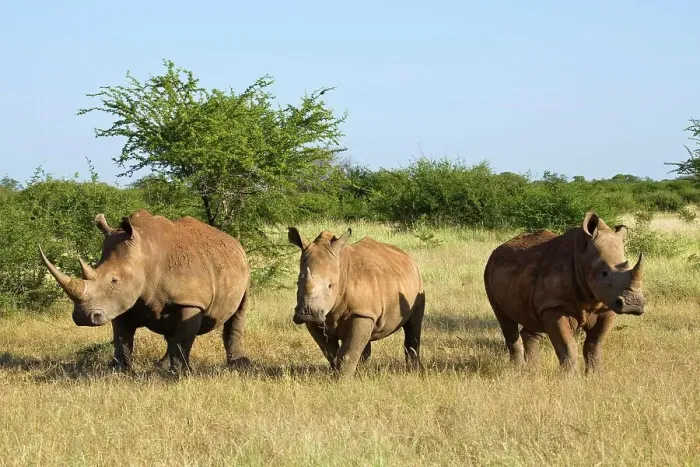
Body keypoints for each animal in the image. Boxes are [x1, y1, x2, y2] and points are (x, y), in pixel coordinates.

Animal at [39, 210, 250, 373]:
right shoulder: (122, 302)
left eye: (114, 280)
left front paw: (180, 373)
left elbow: (183, 337)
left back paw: (239, 364)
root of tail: (234, 241)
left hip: (245, 268)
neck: (145, 254)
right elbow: (122, 338)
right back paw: (160, 366)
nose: (82, 317)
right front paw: (119, 370)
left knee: (238, 312)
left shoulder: (190, 301)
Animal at [288, 227, 425, 378]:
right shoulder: (320, 318)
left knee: (413, 325)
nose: (307, 314)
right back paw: (362, 372)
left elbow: (347, 353)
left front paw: (342, 380)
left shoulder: (361, 313)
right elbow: (331, 352)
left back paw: (414, 370)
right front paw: (337, 375)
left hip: (417, 284)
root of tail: (408, 256)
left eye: (330, 285)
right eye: (297, 283)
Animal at [483, 211, 645, 373]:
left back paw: (533, 369)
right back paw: (517, 370)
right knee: (504, 318)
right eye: (604, 273)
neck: (583, 256)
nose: (634, 304)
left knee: (533, 318)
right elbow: (568, 346)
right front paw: (569, 377)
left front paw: (597, 375)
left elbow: (595, 345)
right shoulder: (556, 306)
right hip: (489, 270)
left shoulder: (607, 305)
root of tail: (498, 249)